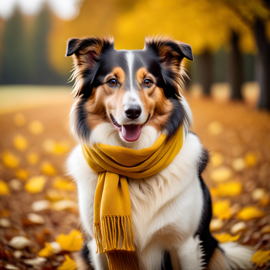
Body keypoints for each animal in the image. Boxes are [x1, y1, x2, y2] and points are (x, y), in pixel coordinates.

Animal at [65, 36, 253, 270]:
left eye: (148, 82)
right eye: (112, 81)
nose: (133, 112)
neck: (133, 163)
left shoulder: (185, 244)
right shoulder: (97, 246)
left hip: (214, 250)